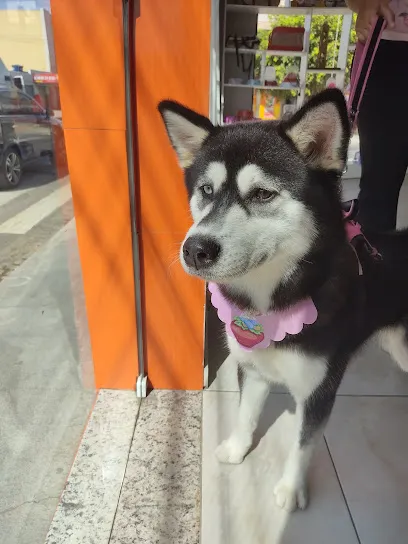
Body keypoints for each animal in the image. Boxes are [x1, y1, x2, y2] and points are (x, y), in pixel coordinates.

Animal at [158, 89, 408, 510]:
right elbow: (245, 414)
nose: (195, 250)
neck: (270, 304)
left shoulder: (318, 391)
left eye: (262, 194)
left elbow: (302, 447)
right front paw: (237, 449)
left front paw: (291, 491)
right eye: (206, 190)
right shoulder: (252, 368)